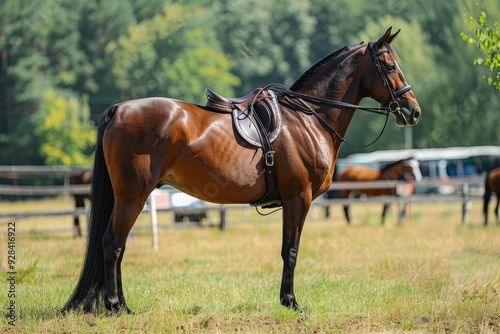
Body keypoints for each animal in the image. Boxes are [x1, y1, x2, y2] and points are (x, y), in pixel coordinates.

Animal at [61, 28, 422, 314]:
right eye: (390, 66)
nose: (413, 110)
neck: (307, 118)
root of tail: (120, 109)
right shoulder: (298, 199)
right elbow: (290, 251)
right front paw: (290, 302)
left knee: (117, 244)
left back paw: (120, 303)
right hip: (132, 196)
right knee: (113, 243)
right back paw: (115, 306)